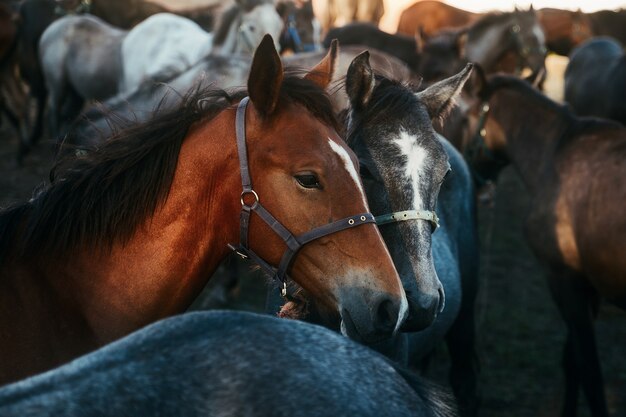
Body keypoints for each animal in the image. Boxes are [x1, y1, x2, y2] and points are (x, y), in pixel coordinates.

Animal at [468, 73, 624, 416]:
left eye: (465, 117)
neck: (554, 153)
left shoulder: (563, 280)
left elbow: (589, 371)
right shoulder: (588, 288)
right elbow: (573, 362)